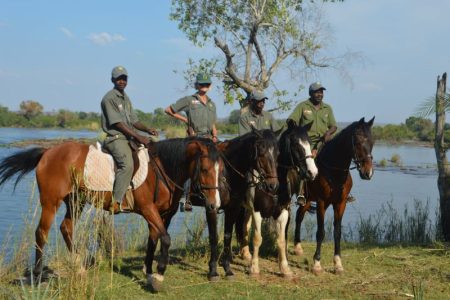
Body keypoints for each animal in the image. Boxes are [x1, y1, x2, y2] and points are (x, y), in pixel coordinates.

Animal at [0, 137, 220, 290]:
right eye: (205, 169)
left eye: (220, 170)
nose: (213, 204)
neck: (162, 169)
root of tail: (48, 152)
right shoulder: (148, 209)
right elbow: (165, 239)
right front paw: (158, 276)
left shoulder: (163, 214)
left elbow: (154, 239)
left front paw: (149, 273)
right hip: (50, 202)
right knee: (41, 233)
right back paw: (37, 276)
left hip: (76, 201)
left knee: (66, 228)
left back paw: (79, 268)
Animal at [294, 116, 374, 274]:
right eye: (358, 142)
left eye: (372, 142)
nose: (368, 173)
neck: (334, 171)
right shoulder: (321, 203)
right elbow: (321, 232)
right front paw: (317, 264)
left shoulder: (340, 204)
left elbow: (337, 232)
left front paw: (338, 264)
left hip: (307, 200)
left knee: (299, 216)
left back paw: (298, 247)